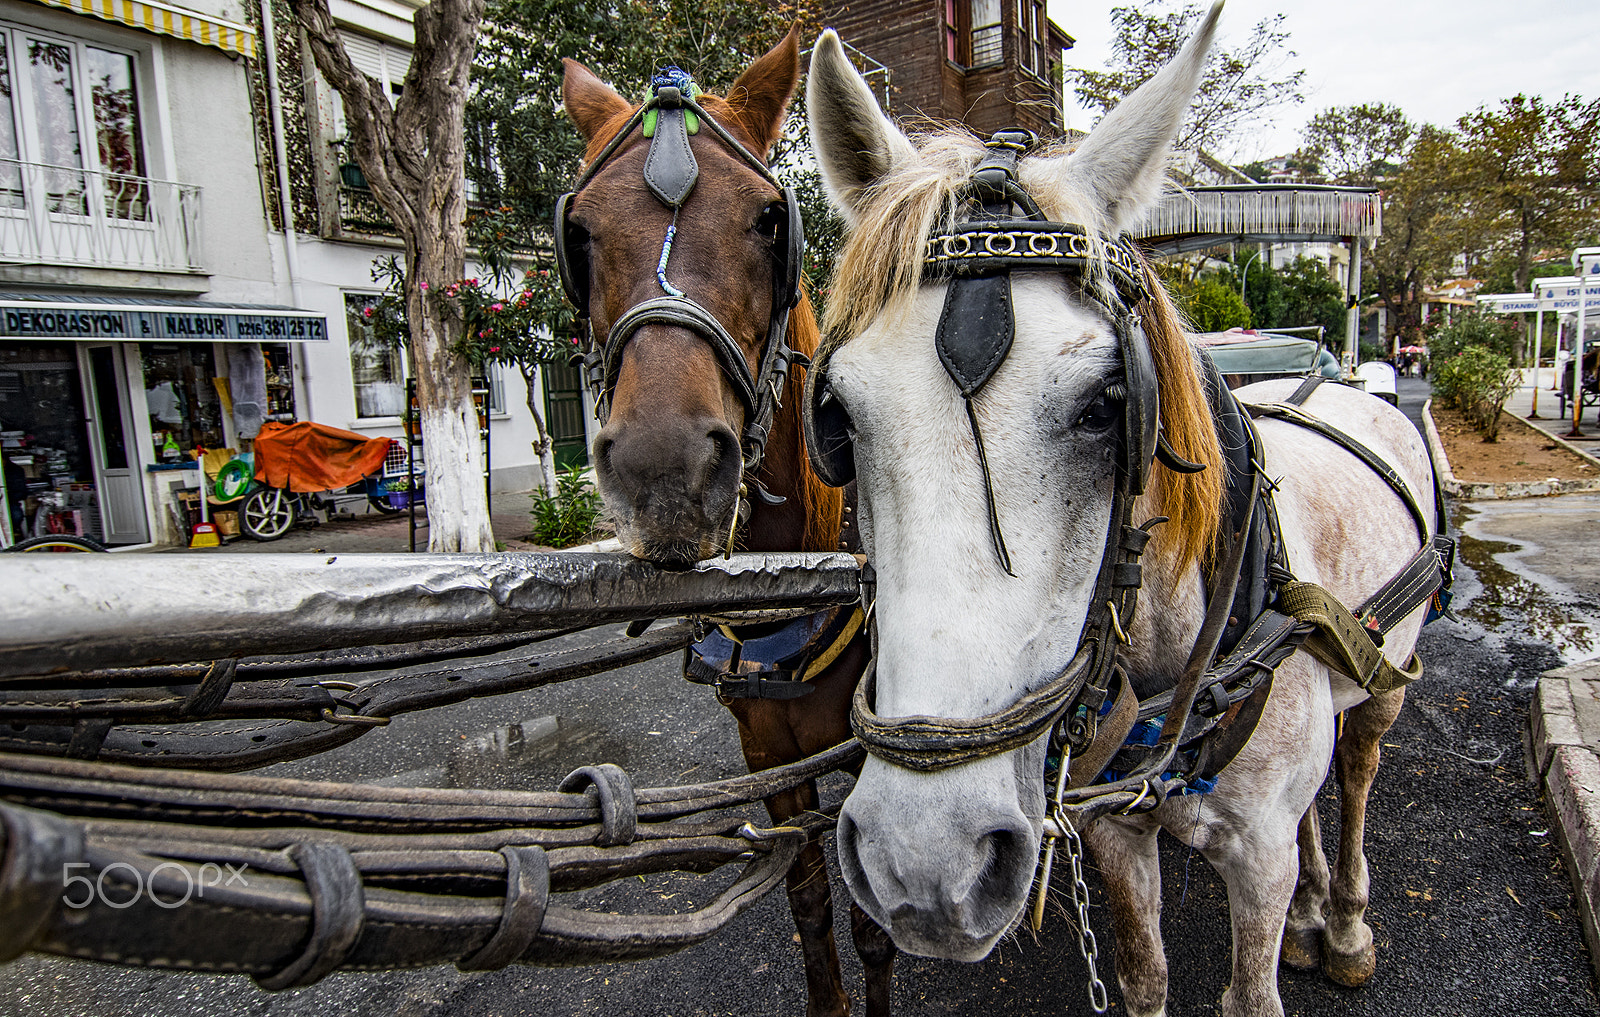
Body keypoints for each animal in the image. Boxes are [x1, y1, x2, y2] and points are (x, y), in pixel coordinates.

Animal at [563, 31, 896, 1017]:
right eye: (581, 234)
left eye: (767, 221)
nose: (665, 473)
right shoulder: (766, 750)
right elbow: (809, 900)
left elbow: (870, 916)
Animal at [800, 5, 1440, 1010]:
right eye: (837, 411)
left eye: (1108, 404)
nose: (926, 865)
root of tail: (1339, 386)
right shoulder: (1114, 836)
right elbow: (1143, 976)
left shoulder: (1256, 859)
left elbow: (1250, 986)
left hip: (1388, 682)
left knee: (1361, 766)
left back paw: (1339, 920)